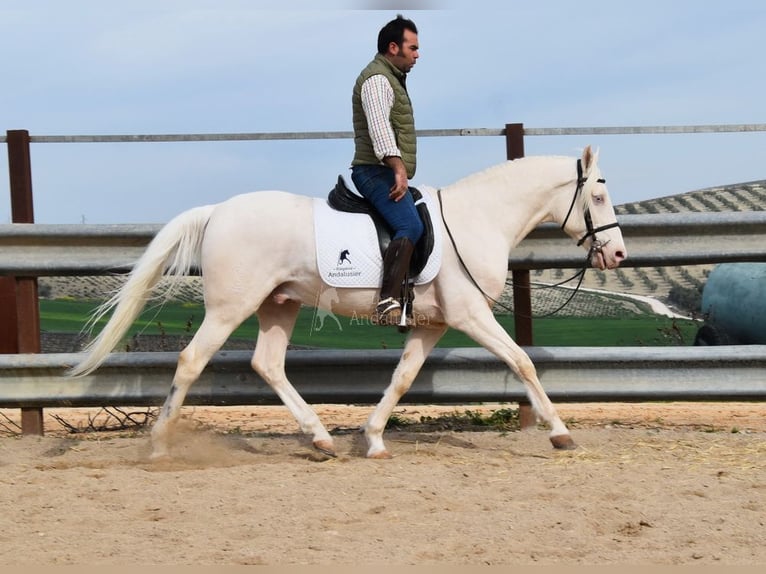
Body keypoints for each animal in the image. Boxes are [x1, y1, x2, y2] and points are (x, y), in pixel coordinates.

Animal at [69, 146, 628, 462]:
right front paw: (560, 433)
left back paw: (320, 440)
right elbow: (522, 362)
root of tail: (218, 211)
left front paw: (373, 439)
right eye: (599, 197)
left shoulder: (432, 325)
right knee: (191, 361)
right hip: (231, 308)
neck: (477, 220)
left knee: (267, 364)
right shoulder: (471, 316)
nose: (619, 254)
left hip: (279, 304)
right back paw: (159, 445)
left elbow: (402, 378)